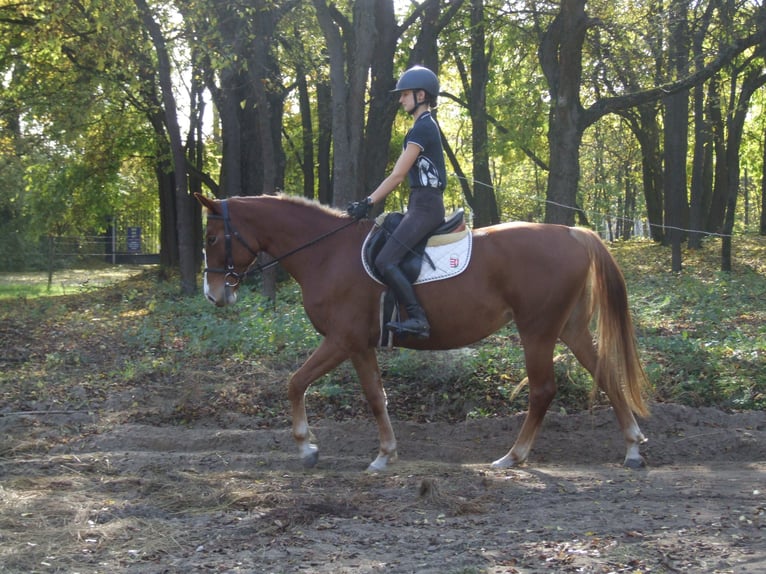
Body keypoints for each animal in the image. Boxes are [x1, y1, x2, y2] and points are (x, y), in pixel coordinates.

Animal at [195, 194, 652, 472]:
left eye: (213, 237)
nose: (214, 294)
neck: (325, 253)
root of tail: (574, 232)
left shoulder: (343, 340)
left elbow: (299, 383)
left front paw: (310, 448)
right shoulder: (359, 345)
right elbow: (374, 396)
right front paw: (383, 454)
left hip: (536, 329)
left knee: (542, 390)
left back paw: (513, 456)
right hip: (570, 328)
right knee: (606, 375)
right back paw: (632, 447)